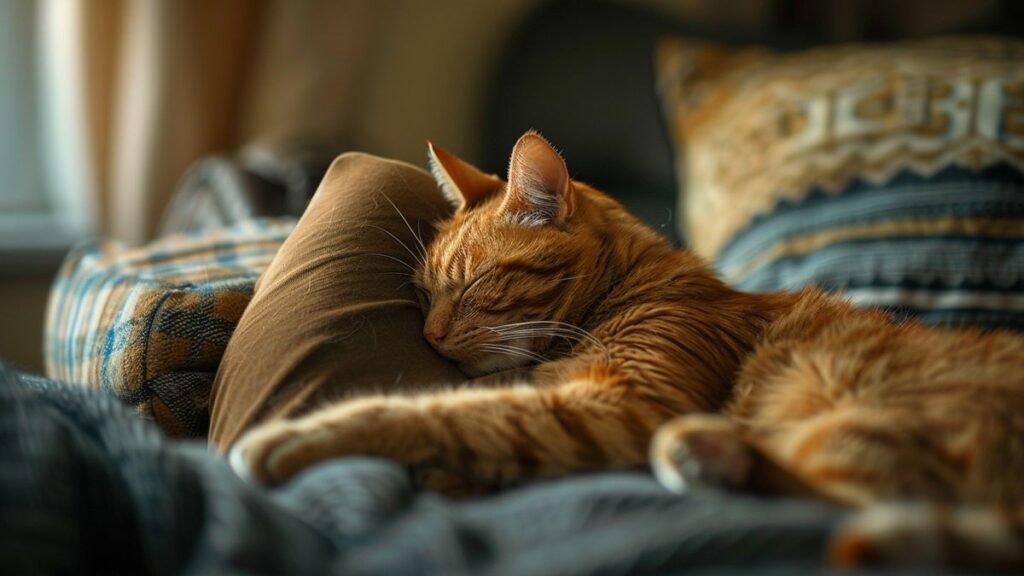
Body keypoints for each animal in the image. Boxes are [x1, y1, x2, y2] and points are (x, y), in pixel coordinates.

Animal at [232, 131, 1024, 569]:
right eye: (425, 295)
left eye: (478, 285)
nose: (428, 335)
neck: (628, 290)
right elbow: (481, 407)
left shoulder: (624, 402)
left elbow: (448, 412)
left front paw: (299, 438)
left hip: (847, 417)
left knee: (851, 517)